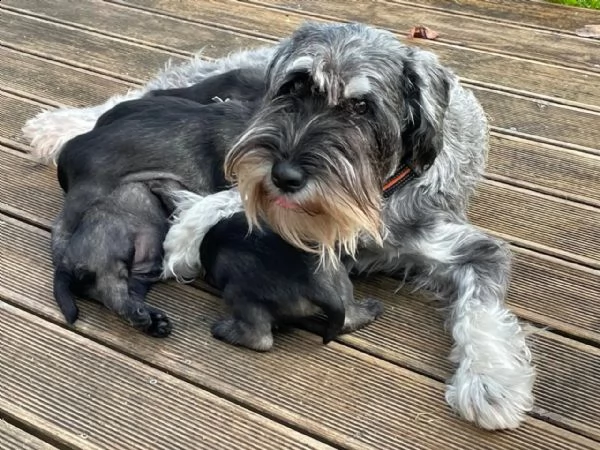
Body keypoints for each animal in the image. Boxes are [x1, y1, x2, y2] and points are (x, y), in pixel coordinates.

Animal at [23, 22, 536, 432]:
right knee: (140, 93)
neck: (379, 192)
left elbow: (482, 308)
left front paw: (492, 383)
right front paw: (187, 233)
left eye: (362, 108)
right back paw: (54, 127)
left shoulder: (466, 247)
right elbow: (238, 195)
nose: (286, 175)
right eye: (294, 89)